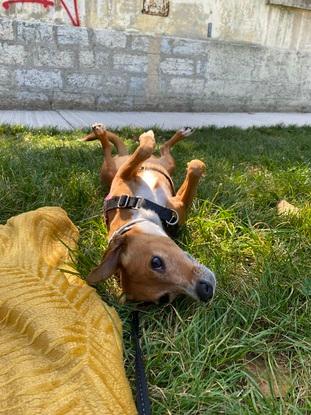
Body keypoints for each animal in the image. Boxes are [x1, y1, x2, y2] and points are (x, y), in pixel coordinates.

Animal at [81, 125, 216, 304]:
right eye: (165, 299)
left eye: (156, 262)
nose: (206, 292)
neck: (140, 210)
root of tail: (123, 154)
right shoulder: (178, 206)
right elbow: (194, 171)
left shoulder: (124, 175)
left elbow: (144, 150)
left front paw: (146, 138)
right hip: (111, 171)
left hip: (154, 165)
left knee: (150, 150)